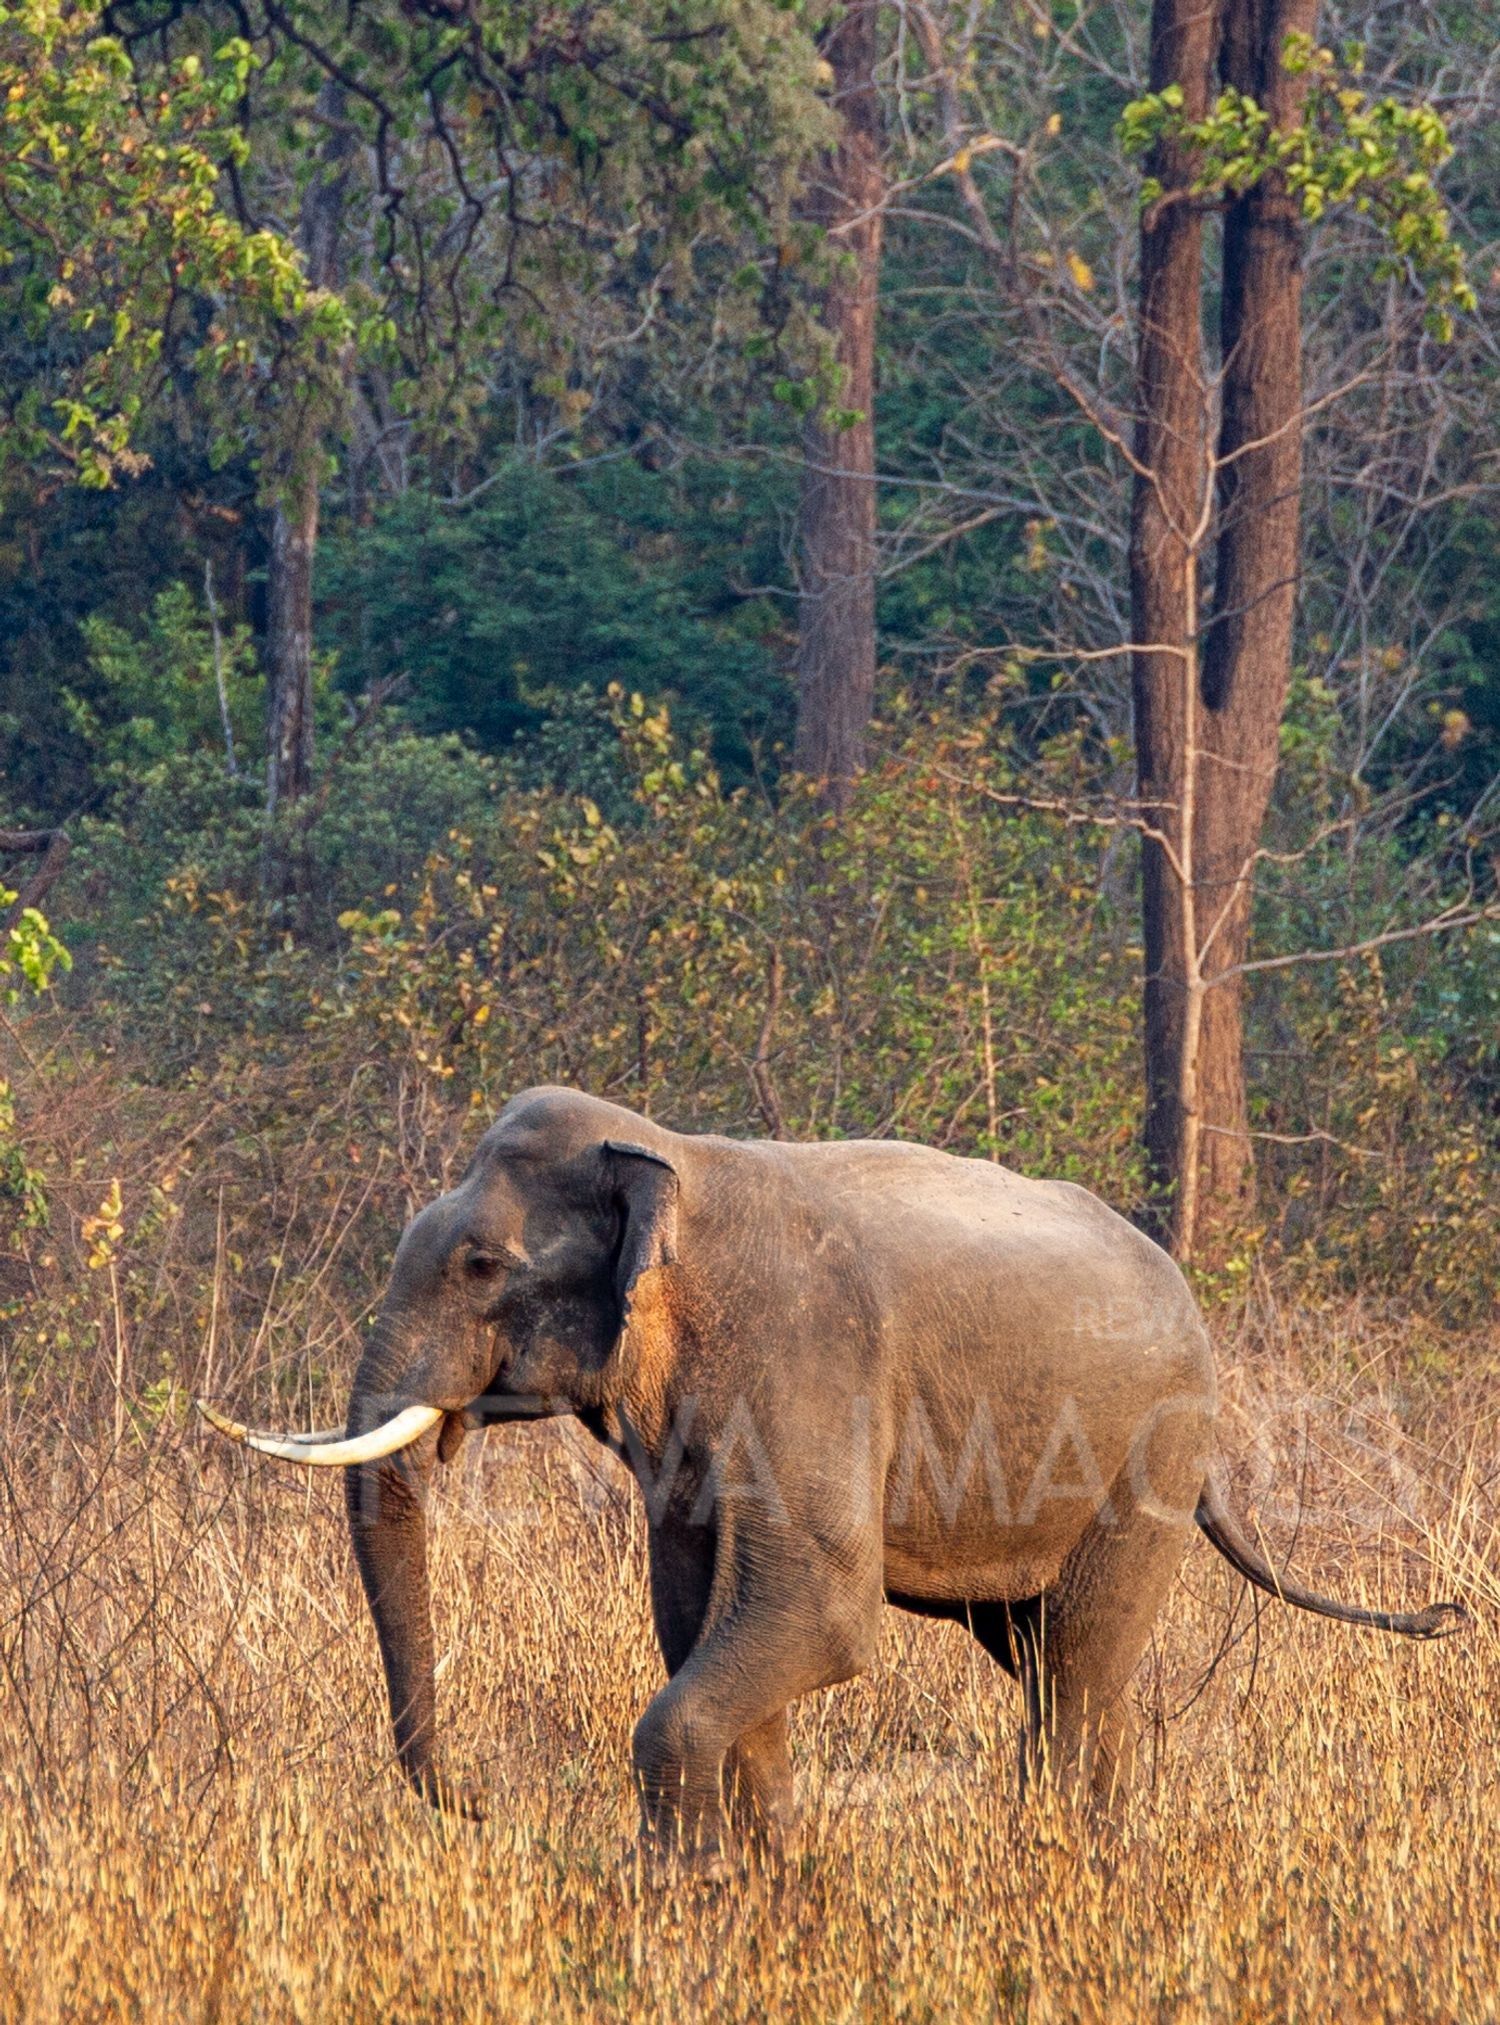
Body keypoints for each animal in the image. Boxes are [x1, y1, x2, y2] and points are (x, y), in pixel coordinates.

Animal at [202, 1085, 1463, 1870]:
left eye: (478, 1265)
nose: (477, 1801)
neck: (673, 1157)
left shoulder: (807, 1363)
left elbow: (817, 1616)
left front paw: (684, 1889)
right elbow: (696, 1621)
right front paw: (762, 1878)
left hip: (1145, 1460)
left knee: (1075, 1665)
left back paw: (1064, 1865)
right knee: (1050, 1663)